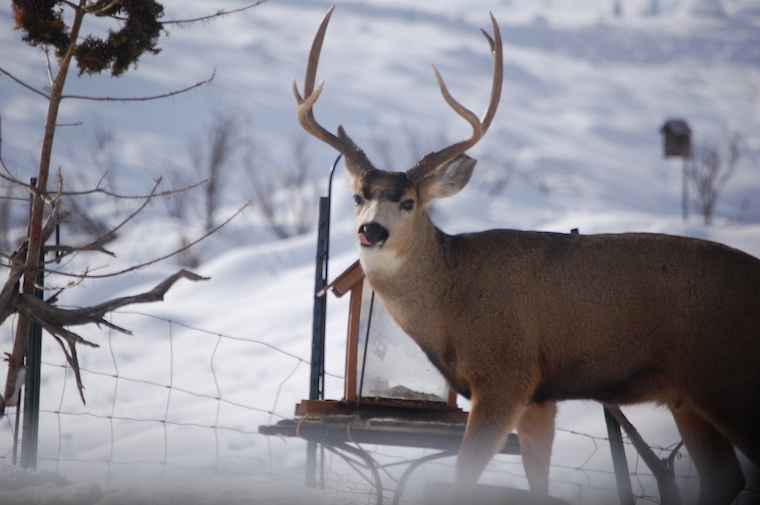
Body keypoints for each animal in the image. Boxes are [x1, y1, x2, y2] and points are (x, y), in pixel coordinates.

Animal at [293, 6, 760, 505]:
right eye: (358, 196)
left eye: (409, 202)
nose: (371, 230)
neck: (453, 301)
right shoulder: (541, 395)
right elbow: (539, 483)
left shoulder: (506, 373)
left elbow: (463, 478)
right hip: (685, 394)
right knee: (723, 476)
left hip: (728, 375)